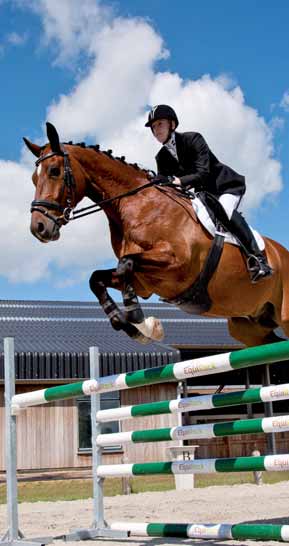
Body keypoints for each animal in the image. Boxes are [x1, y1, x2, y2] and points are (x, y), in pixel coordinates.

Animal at [23, 121, 288, 346]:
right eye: (34, 178)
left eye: (54, 171)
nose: (39, 228)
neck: (135, 204)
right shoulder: (145, 283)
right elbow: (97, 278)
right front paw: (134, 327)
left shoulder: (177, 264)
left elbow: (125, 264)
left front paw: (142, 322)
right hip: (248, 326)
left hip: (282, 315)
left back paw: (260, 265)